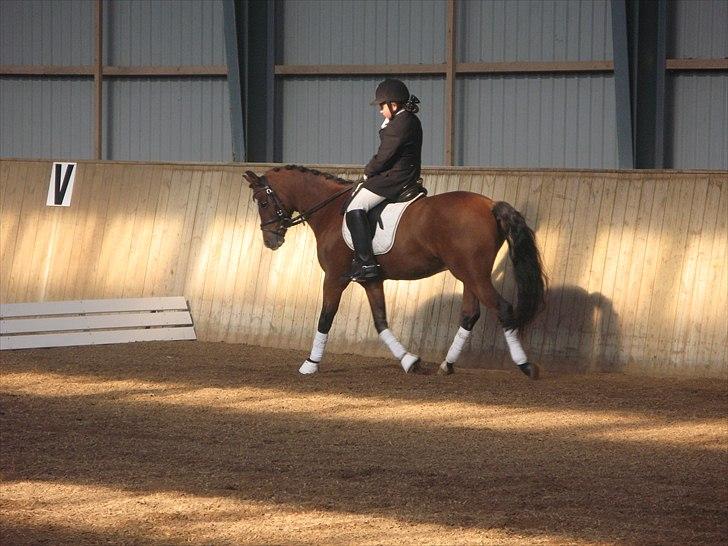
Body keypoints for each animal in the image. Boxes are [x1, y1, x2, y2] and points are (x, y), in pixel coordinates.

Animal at [243, 165, 547, 378]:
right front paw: (410, 361)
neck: (330, 211)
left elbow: (326, 317)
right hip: (469, 275)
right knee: (470, 314)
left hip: (473, 274)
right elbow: (380, 322)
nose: (271, 240)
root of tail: (490, 204)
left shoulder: (334, 278)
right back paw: (446, 365)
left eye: (262, 202)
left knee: (503, 308)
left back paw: (525, 365)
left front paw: (310, 364)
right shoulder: (371, 280)